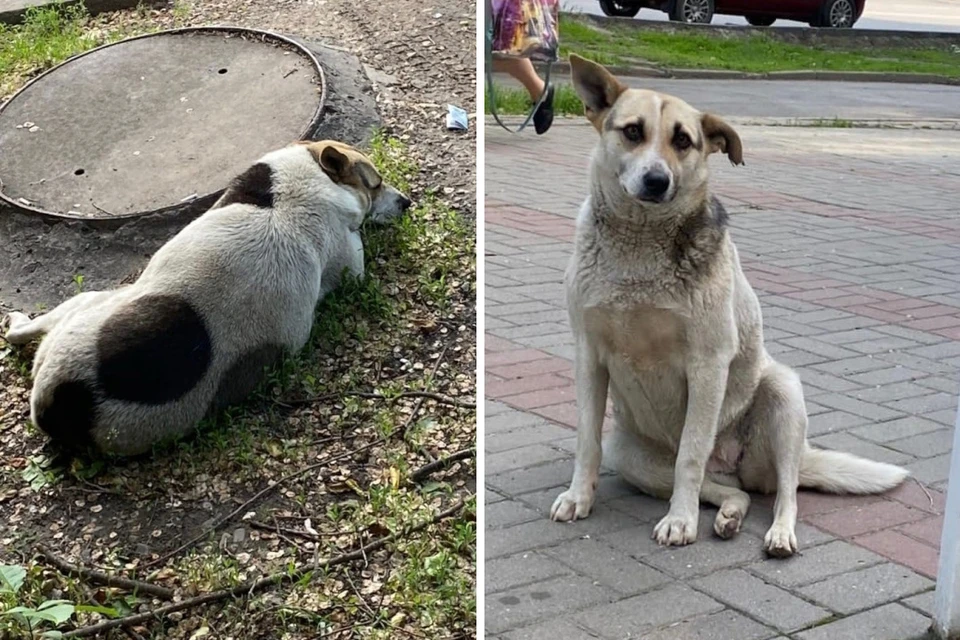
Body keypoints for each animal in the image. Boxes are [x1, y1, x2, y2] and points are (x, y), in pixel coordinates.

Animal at [3, 140, 410, 458]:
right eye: (376, 183)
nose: (407, 202)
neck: (315, 186)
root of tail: (69, 401)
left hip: (86, 305)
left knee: (19, 333)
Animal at [552, 53, 912, 556]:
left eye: (683, 140)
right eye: (632, 131)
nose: (657, 180)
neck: (639, 250)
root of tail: (734, 464)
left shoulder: (708, 362)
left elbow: (690, 454)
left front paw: (680, 521)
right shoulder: (588, 354)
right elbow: (587, 440)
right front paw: (578, 497)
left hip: (782, 396)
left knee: (782, 490)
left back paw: (777, 532)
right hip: (633, 458)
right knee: (731, 490)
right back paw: (728, 515)